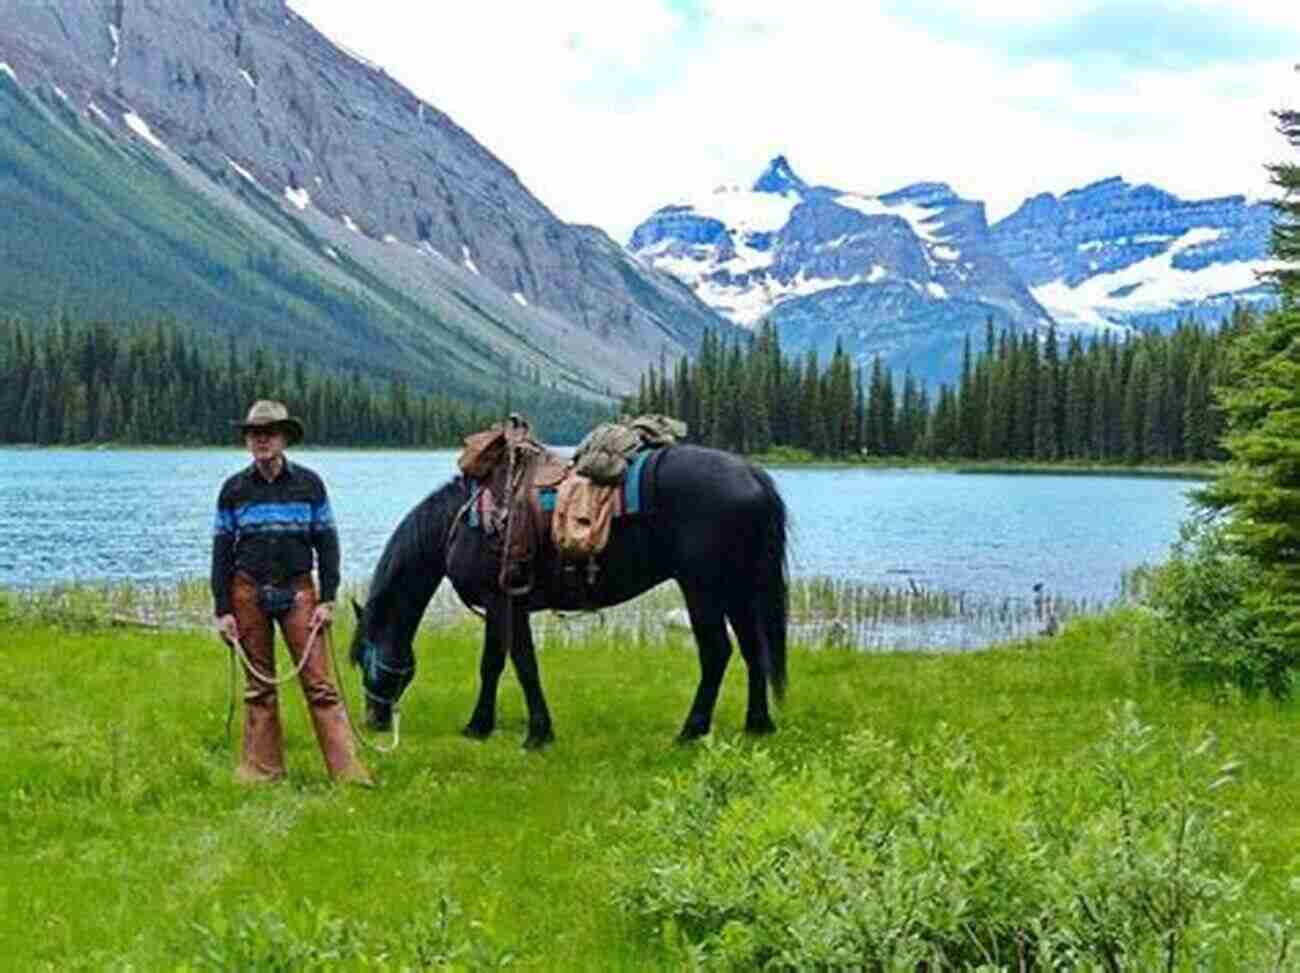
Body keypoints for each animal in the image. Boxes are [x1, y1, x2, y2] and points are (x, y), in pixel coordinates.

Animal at [351, 444, 785, 749]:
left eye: (363, 658)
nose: (373, 720)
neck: (459, 524)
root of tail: (752, 473)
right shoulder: (505, 607)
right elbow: (502, 664)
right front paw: (492, 727)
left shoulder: (503, 602)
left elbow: (513, 664)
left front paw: (524, 732)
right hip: (737, 589)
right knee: (754, 650)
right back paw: (758, 724)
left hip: (703, 588)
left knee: (716, 652)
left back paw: (691, 730)